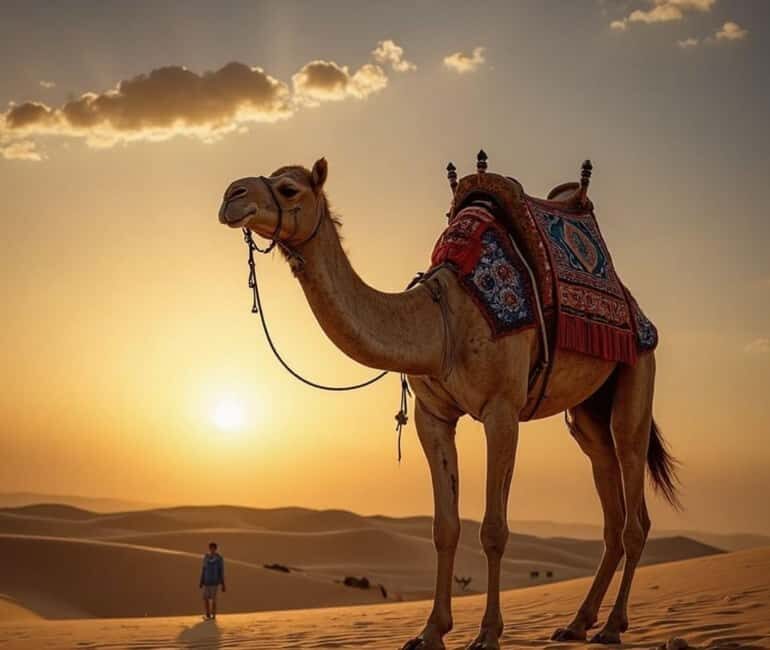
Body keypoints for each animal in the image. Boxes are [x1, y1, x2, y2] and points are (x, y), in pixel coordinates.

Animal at [218, 158, 679, 649]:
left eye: (288, 188)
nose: (231, 196)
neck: (441, 321)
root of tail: (637, 310)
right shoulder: (432, 415)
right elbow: (445, 527)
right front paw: (430, 631)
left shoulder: (502, 410)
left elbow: (493, 529)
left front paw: (488, 634)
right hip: (586, 411)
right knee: (608, 499)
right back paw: (576, 623)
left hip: (637, 373)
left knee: (633, 499)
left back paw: (612, 626)